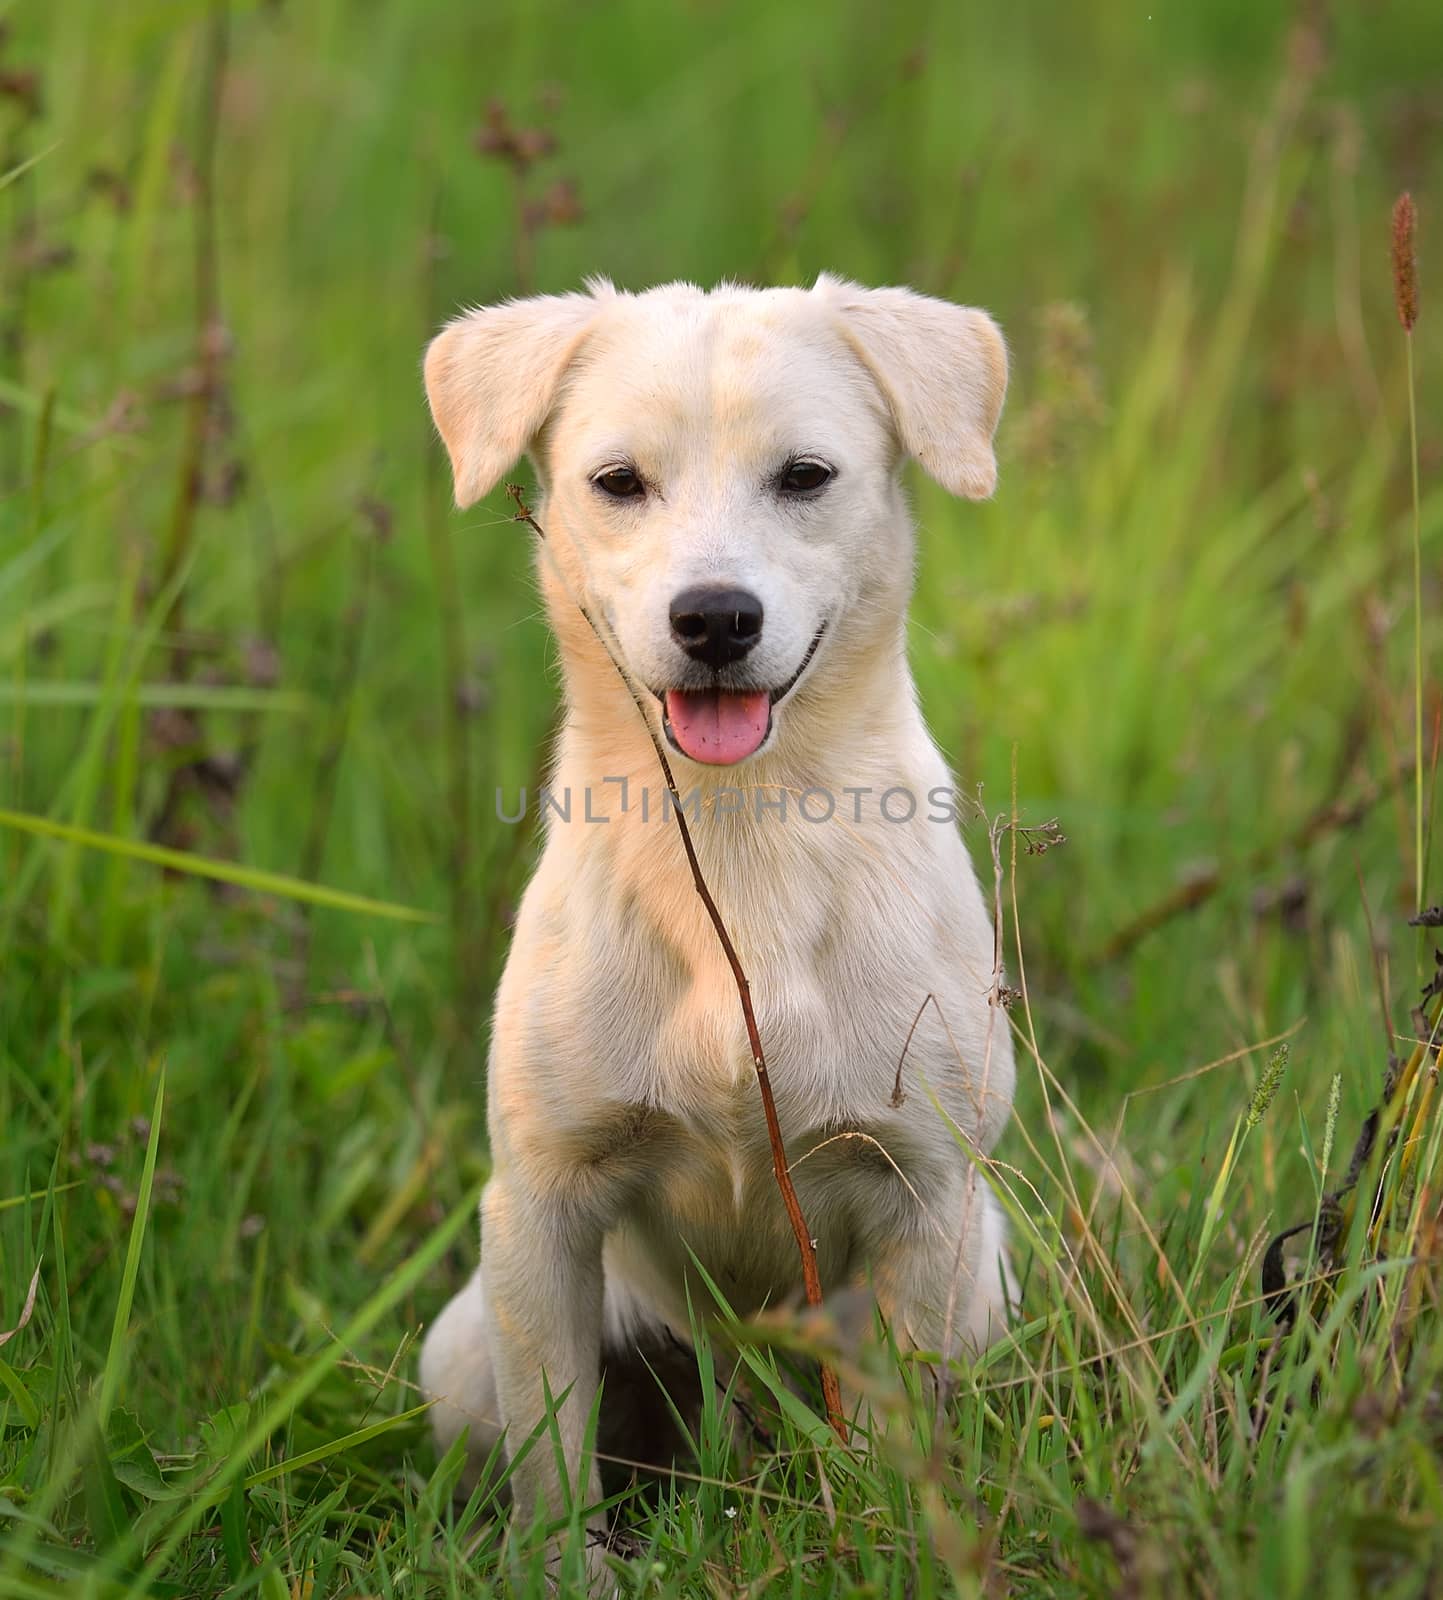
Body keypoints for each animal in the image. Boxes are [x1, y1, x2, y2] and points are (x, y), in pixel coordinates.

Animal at [419, 272, 1017, 1548]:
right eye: (617, 481)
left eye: (806, 474)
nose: (715, 618)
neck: (743, 846)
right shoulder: (540, 1210)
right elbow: (556, 1472)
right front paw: (569, 1568)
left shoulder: (926, 1203)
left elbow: (903, 1443)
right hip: (465, 1352)